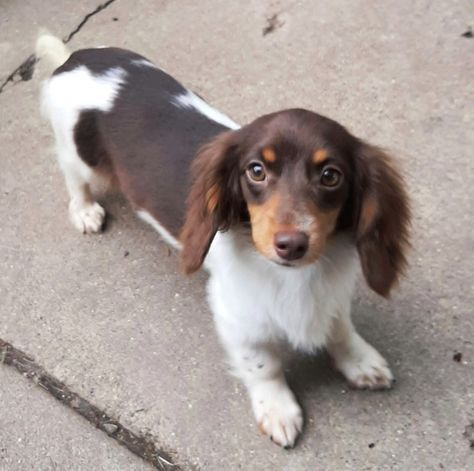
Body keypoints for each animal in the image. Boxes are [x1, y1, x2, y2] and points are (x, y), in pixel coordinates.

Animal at [35, 35, 410, 448]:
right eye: (256, 170)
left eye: (330, 175)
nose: (291, 244)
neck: (293, 276)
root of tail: (75, 58)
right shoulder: (237, 313)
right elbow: (263, 364)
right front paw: (277, 408)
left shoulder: (329, 294)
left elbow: (340, 327)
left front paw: (359, 361)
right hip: (78, 155)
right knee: (74, 178)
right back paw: (85, 210)